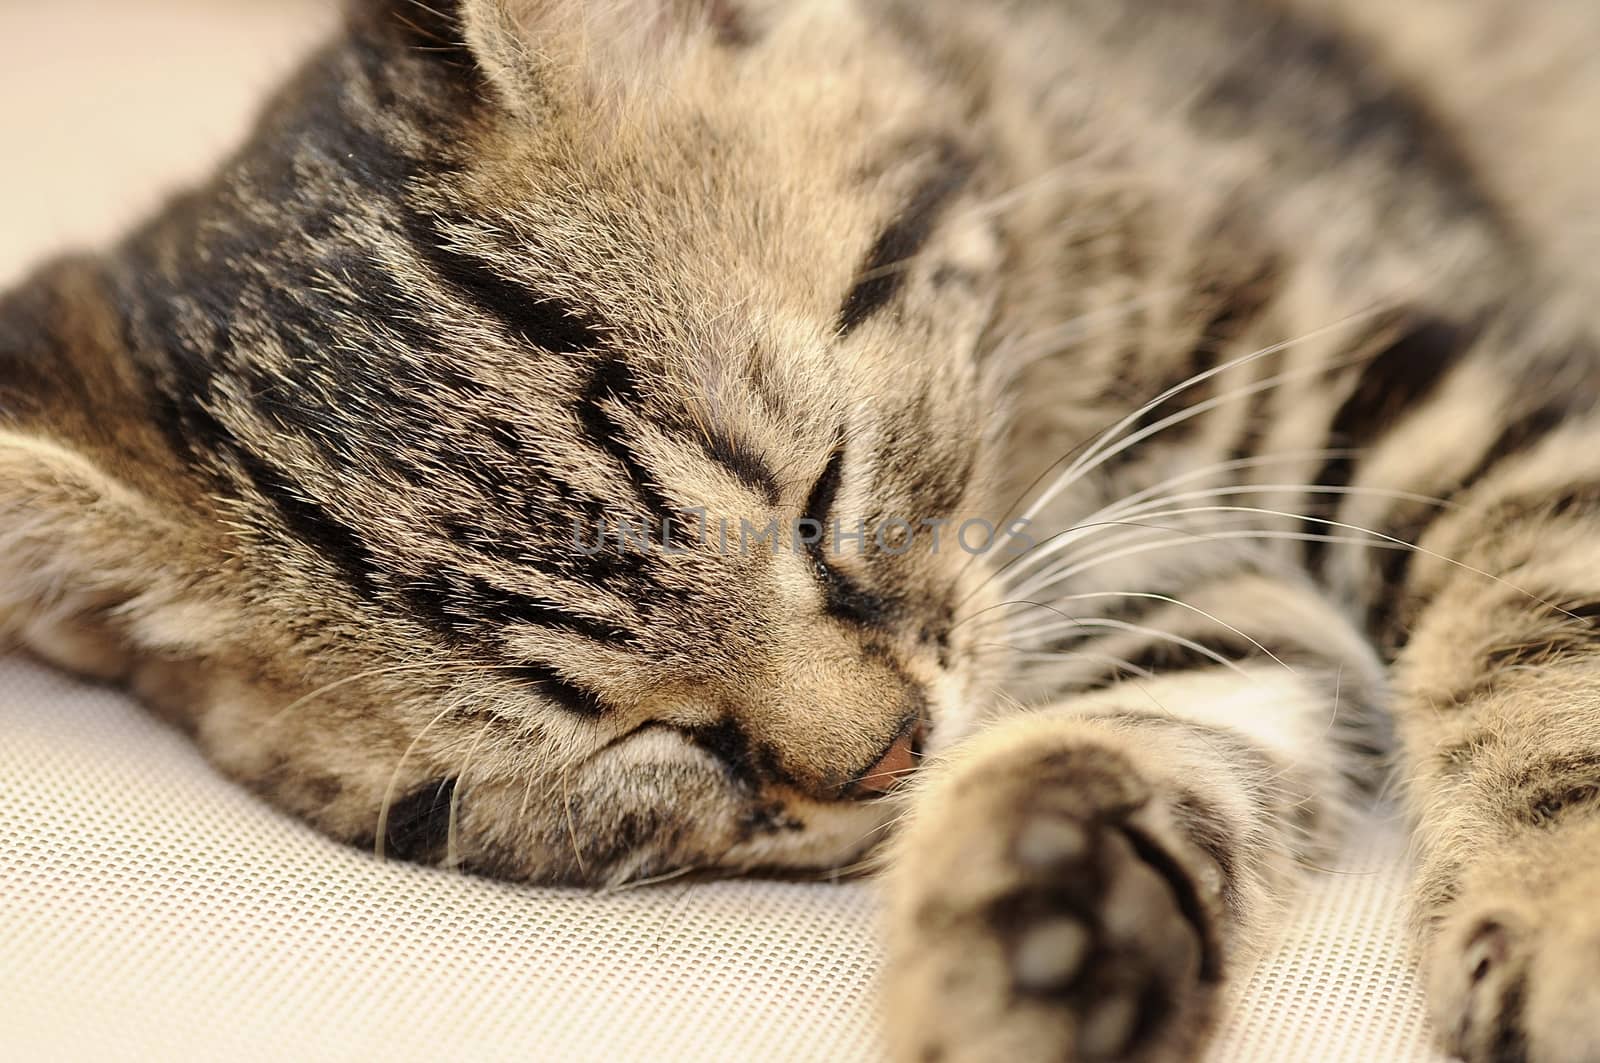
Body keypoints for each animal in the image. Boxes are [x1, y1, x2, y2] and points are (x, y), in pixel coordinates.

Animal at [9, 0, 1600, 1056]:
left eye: (822, 496)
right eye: (631, 736)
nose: (886, 758)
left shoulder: (1433, 373)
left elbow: (1549, 626)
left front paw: (1566, 929)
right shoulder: (1191, 614)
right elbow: (1155, 728)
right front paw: (1048, 919)